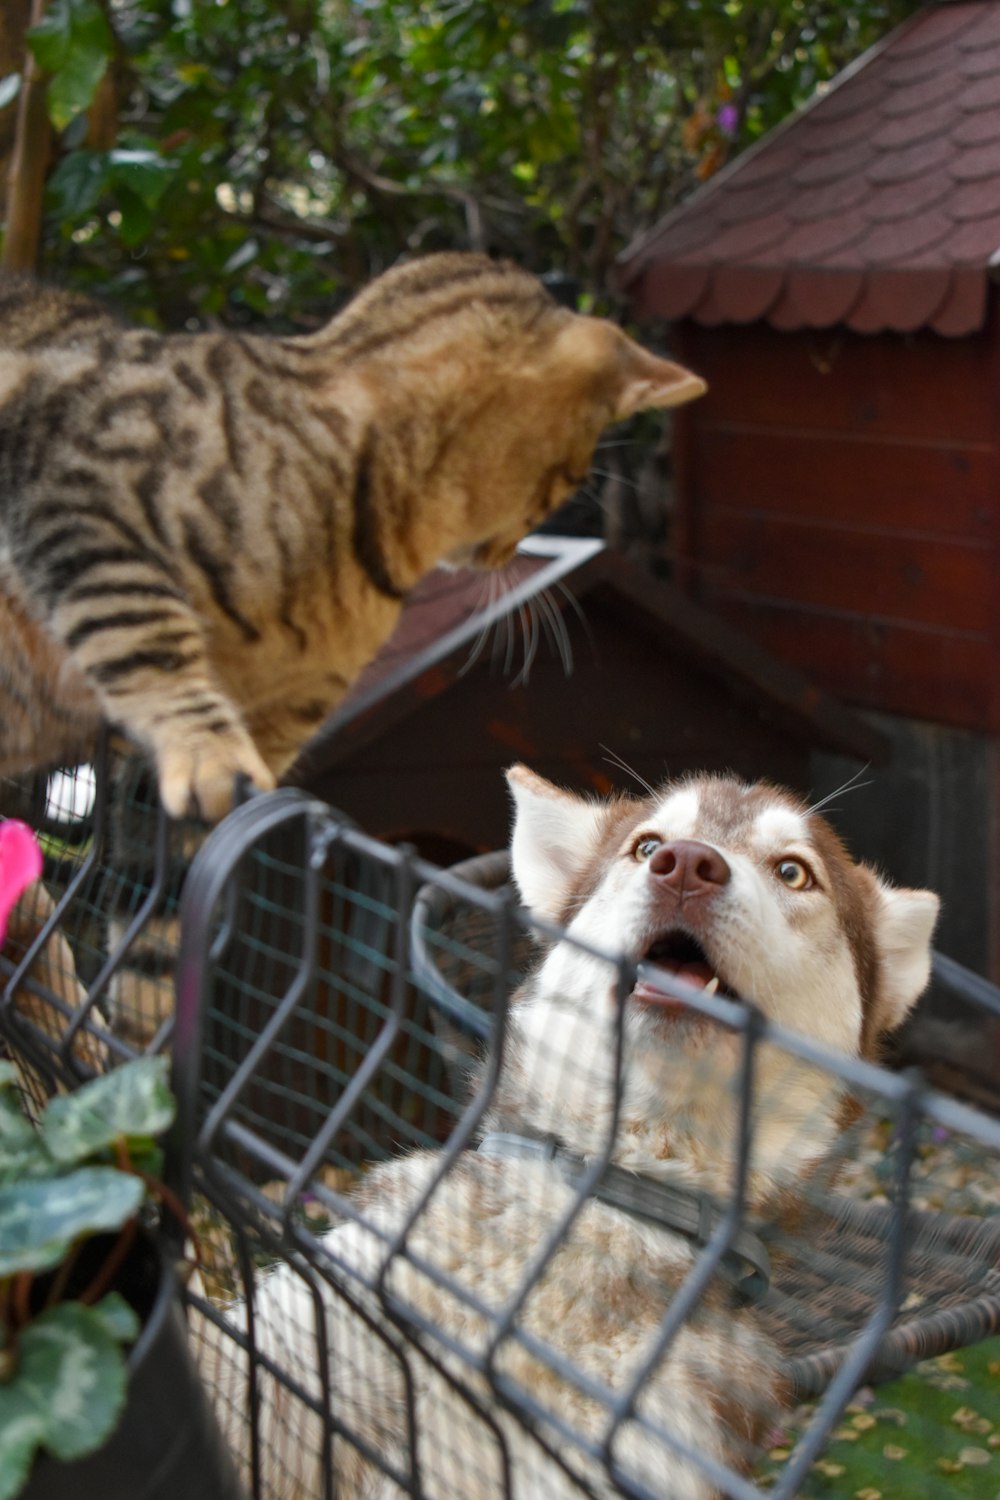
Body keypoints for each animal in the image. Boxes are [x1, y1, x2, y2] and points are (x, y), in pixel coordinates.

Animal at [0, 256, 704, 822]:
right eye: (574, 479)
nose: (507, 553)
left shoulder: (288, 718)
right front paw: (208, 753)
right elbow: (142, 634)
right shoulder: (76, 488)